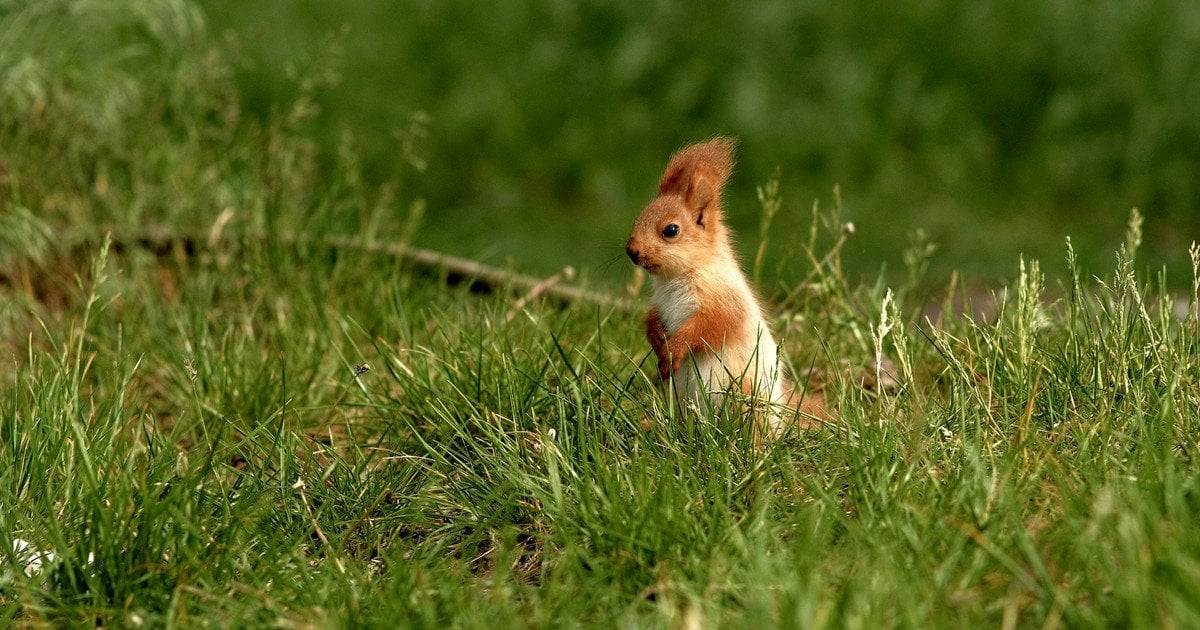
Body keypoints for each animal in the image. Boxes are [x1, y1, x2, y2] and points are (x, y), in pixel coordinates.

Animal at [625, 137, 825, 437]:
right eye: (638, 217)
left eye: (671, 230)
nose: (632, 251)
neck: (676, 277)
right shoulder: (661, 303)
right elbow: (652, 317)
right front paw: (656, 338)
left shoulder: (725, 299)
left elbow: (711, 325)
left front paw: (674, 349)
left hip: (745, 398)